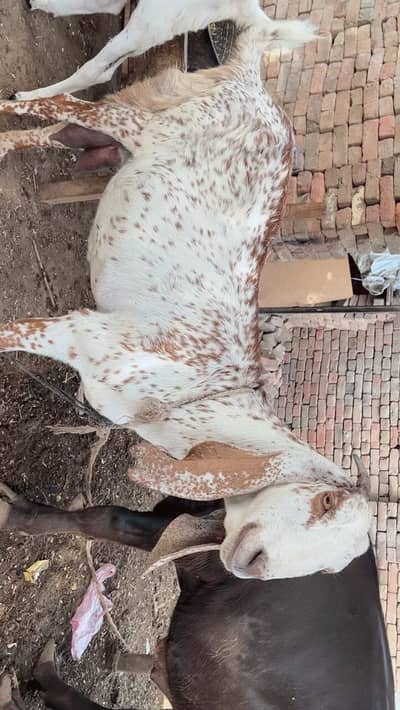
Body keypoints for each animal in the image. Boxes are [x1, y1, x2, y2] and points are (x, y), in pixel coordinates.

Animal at [0, 3, 372, 581]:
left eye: (330, 570)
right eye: (324, 502)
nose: (251, 566)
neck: (196, 392)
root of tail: (253, 78)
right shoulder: (78, 330)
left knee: (56, 131)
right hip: (139, 121)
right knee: (63, 102)